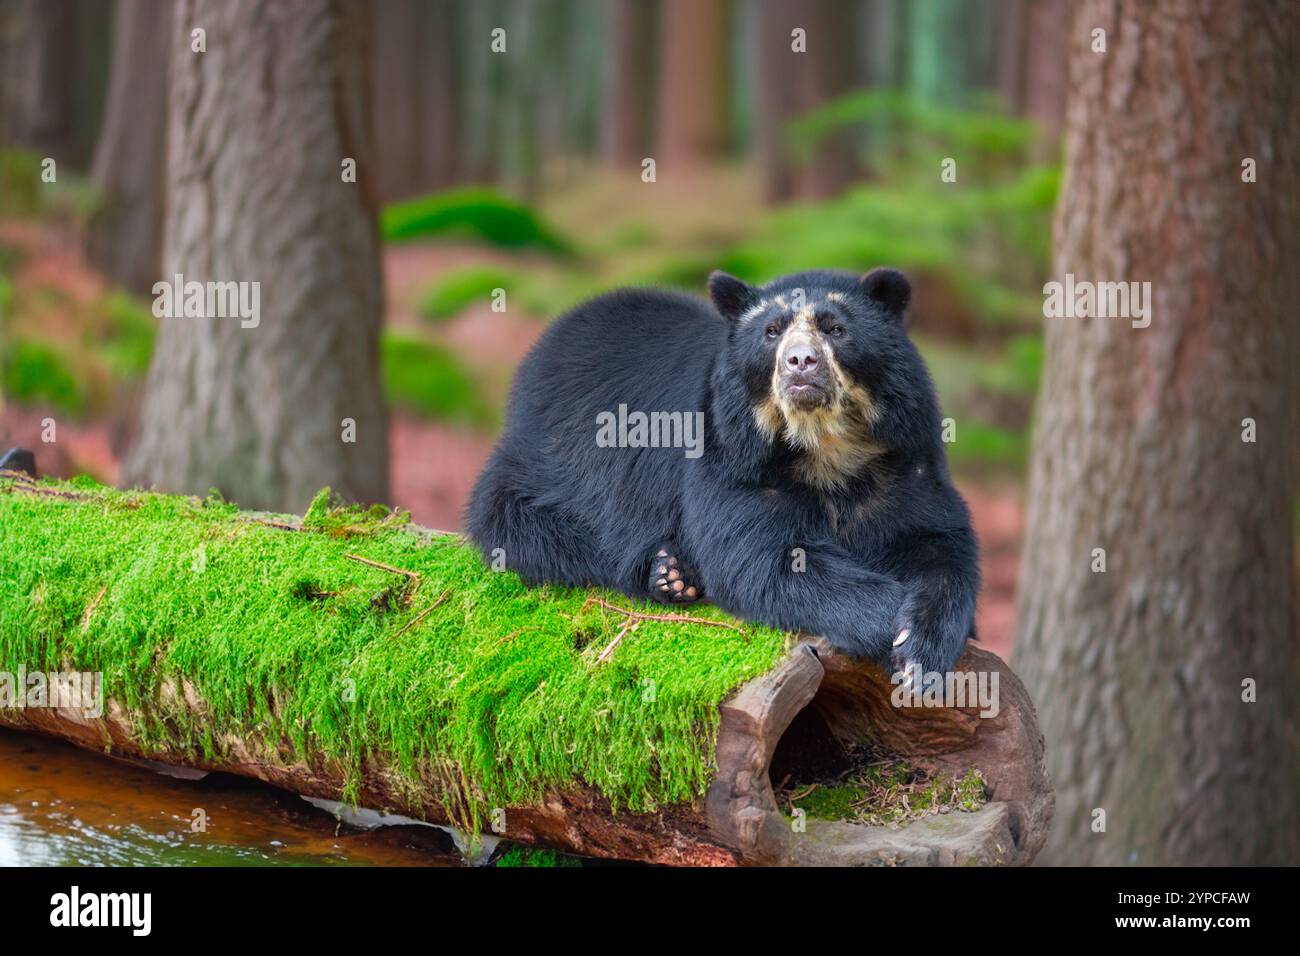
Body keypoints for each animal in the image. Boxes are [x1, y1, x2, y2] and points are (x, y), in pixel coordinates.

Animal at [465, 268, 979, 677]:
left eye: (836, 328)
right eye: (771, 332)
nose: (800, 362)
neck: (823, 446)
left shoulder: (902, 457)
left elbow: (938, 541)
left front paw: (921, 646)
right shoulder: (732, 458)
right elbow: (760, 559)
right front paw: (891, 630)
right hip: (548, 464)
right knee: (530, 529)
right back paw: (670, 573)